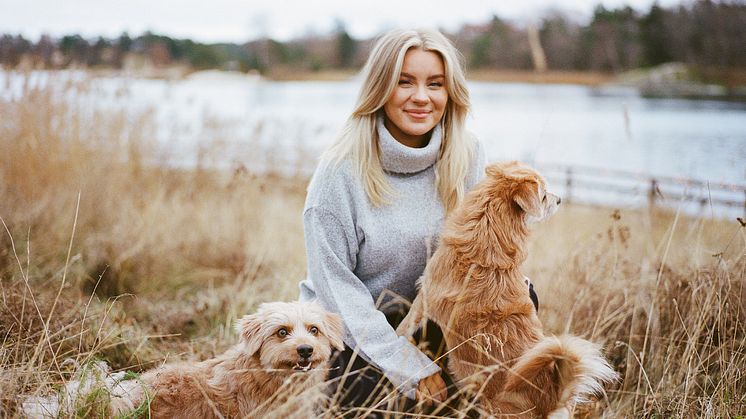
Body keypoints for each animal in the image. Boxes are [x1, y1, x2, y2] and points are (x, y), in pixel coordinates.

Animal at [398, 162, 612, 418]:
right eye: (544, 196)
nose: (560, 199)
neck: (487, 230)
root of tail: (550, 398)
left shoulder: (424, 299)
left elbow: (403, 328)